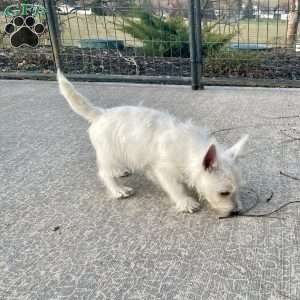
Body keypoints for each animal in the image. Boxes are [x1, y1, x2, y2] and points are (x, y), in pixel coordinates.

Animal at [57, 69, 247, 216]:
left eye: (238, 189)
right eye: (224, 193)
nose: (236, 212)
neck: (189, 149)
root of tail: (101, 113)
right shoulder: (164, 170)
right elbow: (175, 187)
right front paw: (185, 202)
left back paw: (120, 171)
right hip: (109, 153)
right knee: (104, 173)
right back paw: (118, 189)